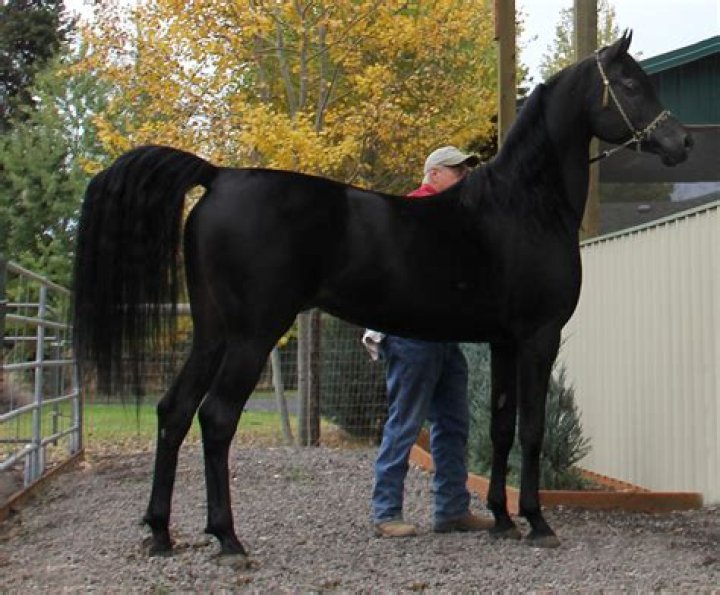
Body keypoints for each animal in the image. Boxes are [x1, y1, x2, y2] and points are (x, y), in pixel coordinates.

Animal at [73, 32, 691, 561]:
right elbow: (533, 430)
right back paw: (227, 539)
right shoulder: (540, 338)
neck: (524, 204)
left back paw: (160, 533)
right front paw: (537, 522)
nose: (681, 141)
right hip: (252, 334)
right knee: (217, 416)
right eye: (630, 84)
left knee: (174, 410)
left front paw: (501, 518)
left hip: (212, 332)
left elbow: (500, 427)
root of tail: (219, 175)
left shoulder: (504, 343)